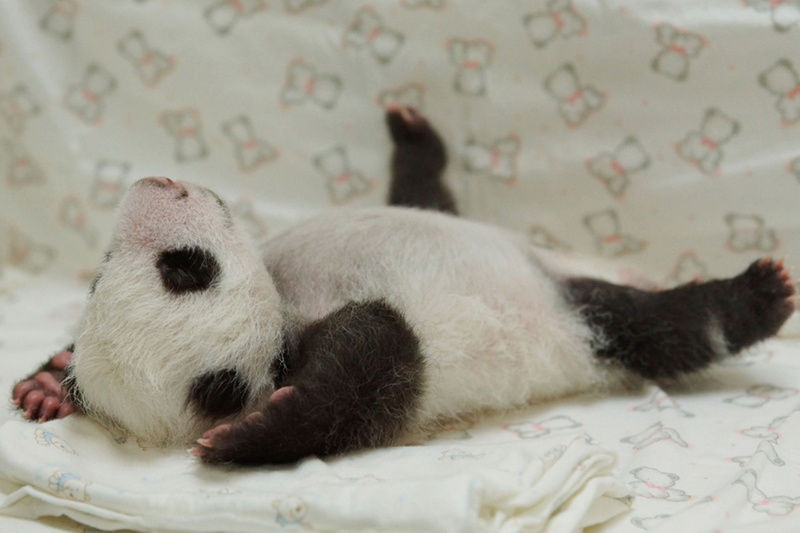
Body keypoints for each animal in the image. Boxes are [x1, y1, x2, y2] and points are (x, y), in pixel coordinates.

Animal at [12, 107, 796, 465]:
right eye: (186, 268)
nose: (157, 182)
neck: (283, 304)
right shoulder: (371, 355)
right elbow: (376, 361)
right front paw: (254, 436)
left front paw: (48, 383)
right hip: (579, 319)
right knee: (664, 328)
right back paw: (758, 295)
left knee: (429, 197)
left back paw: (413, 133)